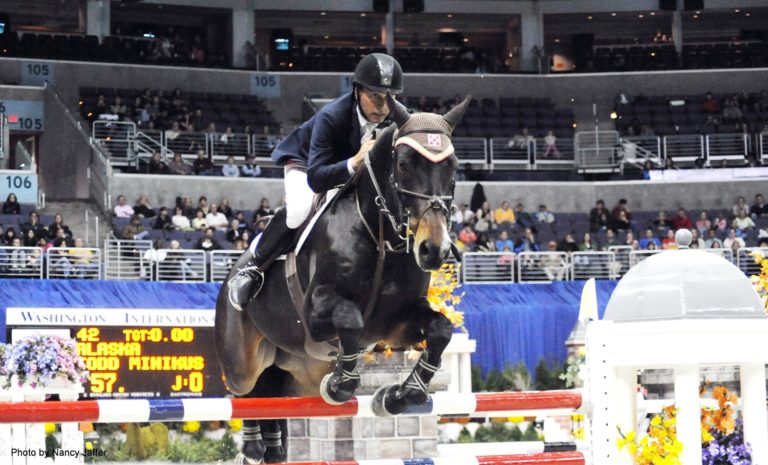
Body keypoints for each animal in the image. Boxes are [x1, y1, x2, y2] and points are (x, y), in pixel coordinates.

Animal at [215, 95, 469, 464]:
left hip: (295, 373)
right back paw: (251, 447)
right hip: (241, 363)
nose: (433, 250)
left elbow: (440, 330)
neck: (380, 237)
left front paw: (399, 395)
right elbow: (350, 318)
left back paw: (270, 447)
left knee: (271, 396)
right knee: (247, 391)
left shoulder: (396, 325)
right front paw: (339, 385)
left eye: (452, 167)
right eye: (404, 164)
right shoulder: (316, 314)